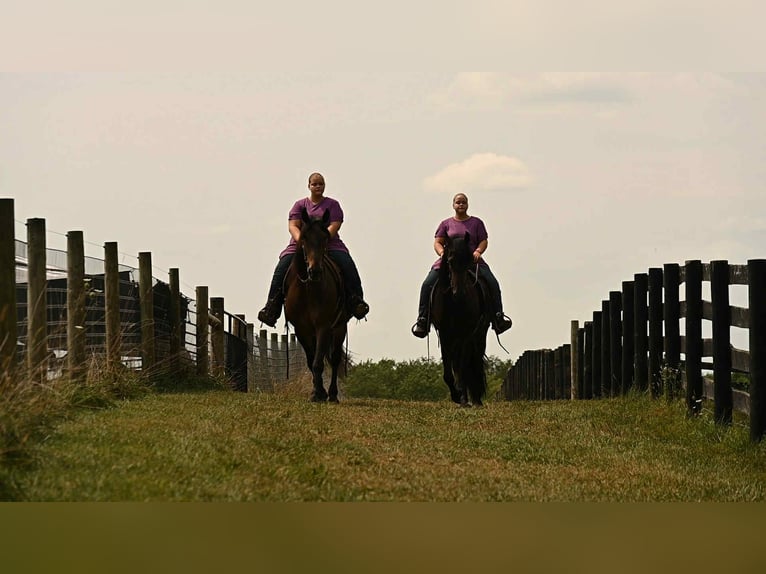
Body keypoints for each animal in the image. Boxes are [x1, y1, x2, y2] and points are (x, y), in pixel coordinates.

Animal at [284, 207, 349, 403]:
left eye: (325, 238)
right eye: (304, 237)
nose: (315, 271)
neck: (308, 289)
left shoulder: (323, 326)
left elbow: (318, 362)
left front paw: (319, 393)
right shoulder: (301, 329)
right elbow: (311, 360)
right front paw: (317, 392)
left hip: (339, 327)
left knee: (334, 359)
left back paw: (333, 394)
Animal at [430, 232, 491, 407]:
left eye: (469, 260)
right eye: (450, 261)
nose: (459, 293)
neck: (454, 303)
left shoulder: (466, 334)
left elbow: (463, 367)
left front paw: (462, 398)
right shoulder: (444, 334)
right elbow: (449, 371)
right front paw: (456, 395)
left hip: (479, 334)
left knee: (474, 361)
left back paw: (475, 399)